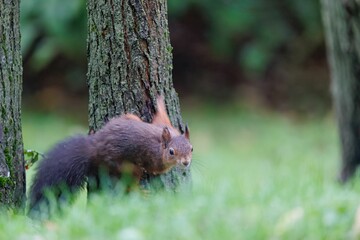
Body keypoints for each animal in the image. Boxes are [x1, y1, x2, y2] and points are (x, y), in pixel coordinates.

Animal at [28, 95, 193, 216]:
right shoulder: (154, 160)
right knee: (129, 180)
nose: (186, 162)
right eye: (171, 152)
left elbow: (162, 119)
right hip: (124, 165)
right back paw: (139, 192)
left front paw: (160, 102)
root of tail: (95, 148)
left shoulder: (166, 128)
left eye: (192, 148)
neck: (160, 144)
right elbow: (156, 169)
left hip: (128, 118)